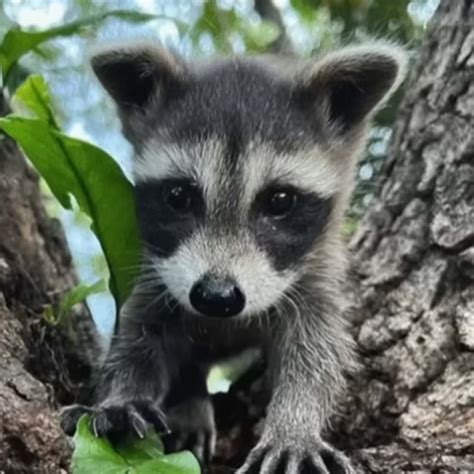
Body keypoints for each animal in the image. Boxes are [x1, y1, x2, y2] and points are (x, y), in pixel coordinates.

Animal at [60, 41, 408, 474]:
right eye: (179, 196)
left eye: (280, 201)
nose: (216, 297)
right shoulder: (158, 270)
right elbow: (140, 335)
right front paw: (123, 394)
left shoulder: (316, 272)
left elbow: (317, 352)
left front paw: (295, 424)